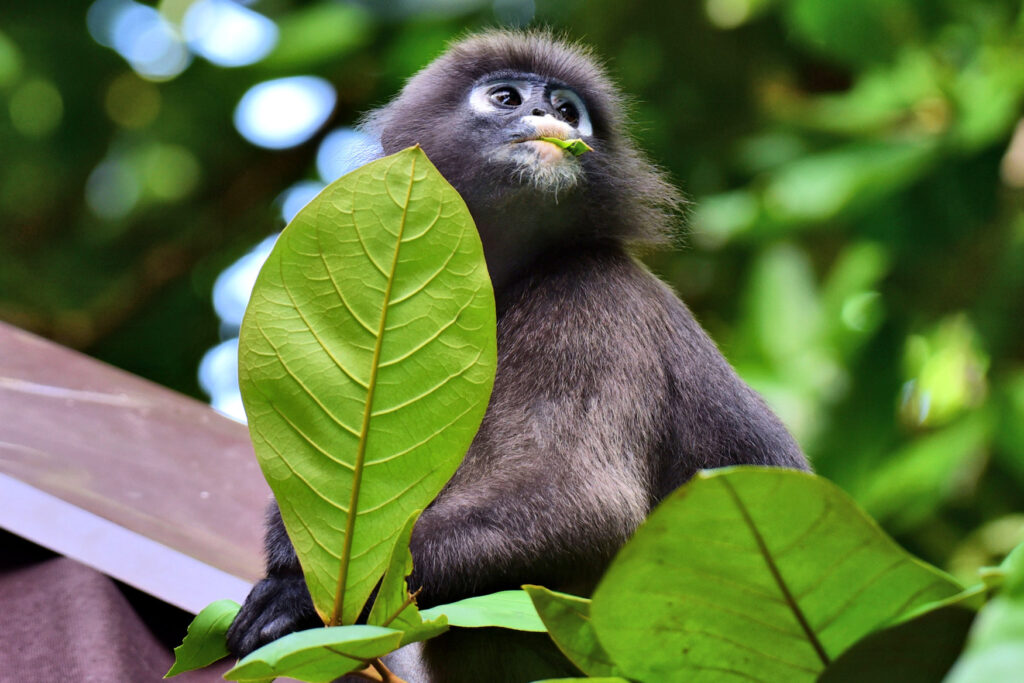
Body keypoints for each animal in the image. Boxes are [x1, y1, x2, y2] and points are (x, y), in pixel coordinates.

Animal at [225, 30, 809, 681]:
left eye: (567, 110)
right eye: (507, 97)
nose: (547, 116)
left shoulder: (589, 299)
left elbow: (581, 502)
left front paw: (295, 594)